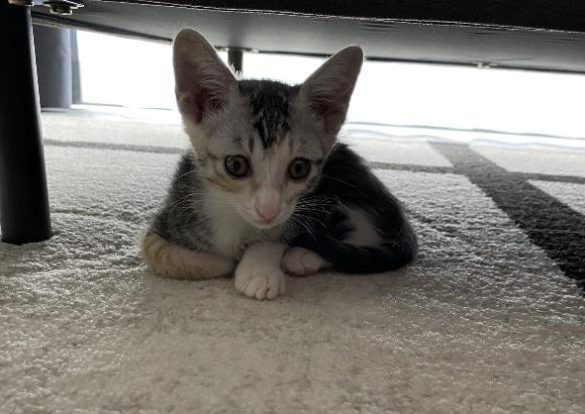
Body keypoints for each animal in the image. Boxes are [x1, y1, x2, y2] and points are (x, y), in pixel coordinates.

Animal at [142, 29, 418, 300]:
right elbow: (160, 255)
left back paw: (302, 256)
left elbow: (276, 236)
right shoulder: (170, 214)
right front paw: (226, 261)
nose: (268, 211)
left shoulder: (296, 213)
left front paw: (259, 270)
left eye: (299, 168)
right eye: (236, 165)